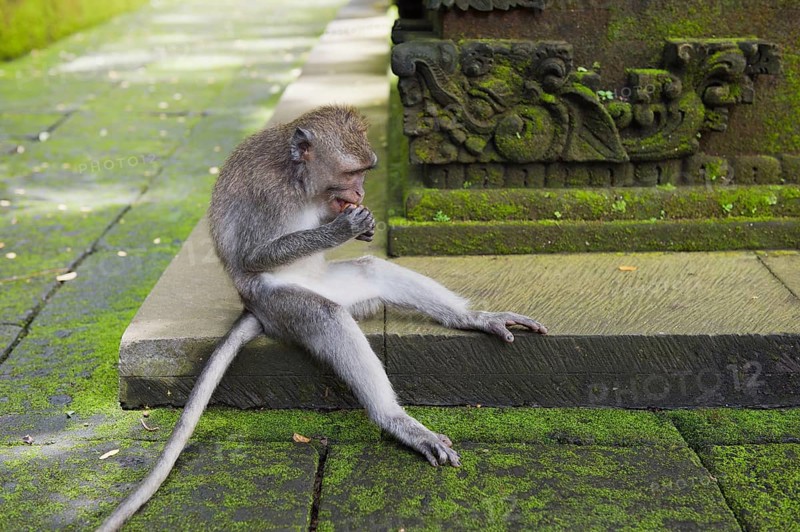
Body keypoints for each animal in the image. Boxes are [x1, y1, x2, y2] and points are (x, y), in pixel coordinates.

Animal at [99, 105, 547, 531]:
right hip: (280, 305)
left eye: (366, 171)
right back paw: (396, 421)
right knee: (326, 315)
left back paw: (474, 319)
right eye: (351, 172)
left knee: (373, 271)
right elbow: (254, 255)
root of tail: (252, 308)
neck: (299, 180)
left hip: (336, 287)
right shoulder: (270, 195)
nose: (361, 191)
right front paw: (341, 229)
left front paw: (360, 227)